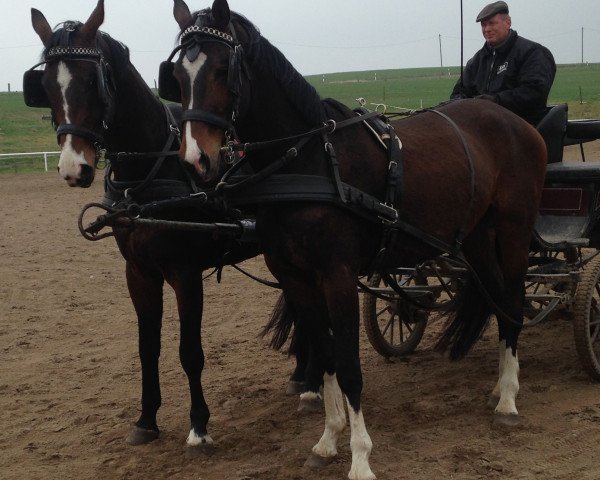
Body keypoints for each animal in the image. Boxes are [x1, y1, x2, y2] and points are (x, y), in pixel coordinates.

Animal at [27, 0, 310, 450]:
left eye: (92, 81)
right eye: (47, 86)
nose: (74, 168)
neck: (149, 172)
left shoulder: (185, 273)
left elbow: (189, 352)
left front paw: (198, 425)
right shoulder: (139, 273)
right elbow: (148, 348)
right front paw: (146, 419)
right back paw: (303, 374)